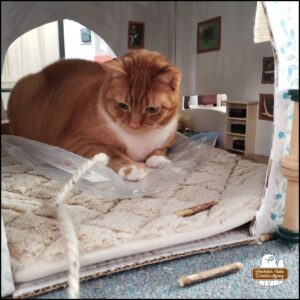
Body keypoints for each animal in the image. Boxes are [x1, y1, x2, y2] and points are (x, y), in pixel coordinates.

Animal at [7, 49, 180, 180]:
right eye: (122, 105)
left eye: (152, 109)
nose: (134, 125)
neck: (138, 139)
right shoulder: (77, 142)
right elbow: (112, 152)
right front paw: (132, 167)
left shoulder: (169, 139)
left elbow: (162, 148)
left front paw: (158, 158)